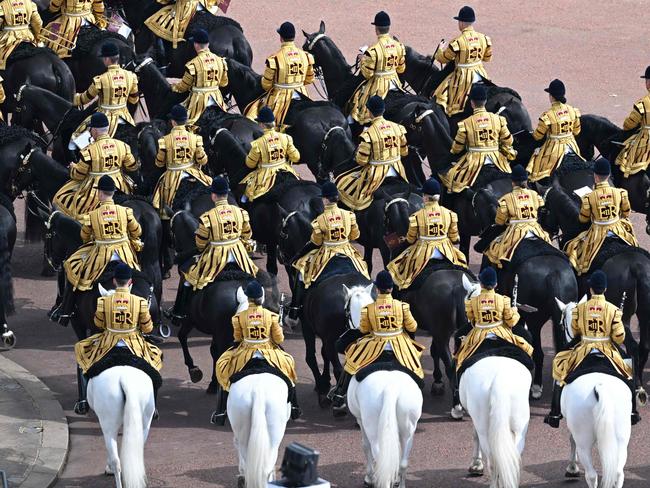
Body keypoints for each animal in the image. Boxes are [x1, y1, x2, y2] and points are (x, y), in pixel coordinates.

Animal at [342, 284, 422, 486]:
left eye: (345, 309)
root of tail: (390, 389)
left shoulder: (361, 420)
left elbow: (365, 446)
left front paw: (368, 476)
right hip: (409, 427)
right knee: (403, 461)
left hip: (372, 425)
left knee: (378, 456)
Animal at [456, 276, 532, 486]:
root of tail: (500, 383)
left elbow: (474, 436)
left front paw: (476, 465)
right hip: (520, 426)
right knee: (512, 457)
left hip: (485, 424)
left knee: (493, 458)